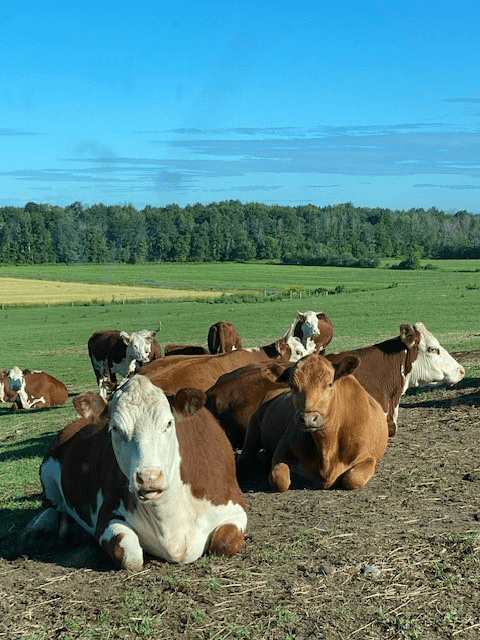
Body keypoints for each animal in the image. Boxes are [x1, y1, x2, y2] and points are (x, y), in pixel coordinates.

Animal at [26, 375, 248, 569]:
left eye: (169, 423)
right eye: (115, 428)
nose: (149, 478)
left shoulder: (235, 505)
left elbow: (224, 544)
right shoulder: (107, 516)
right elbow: (129, 556)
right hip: (47, 470)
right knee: (51, 504)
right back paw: (42, 524)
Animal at [236, 354, 389, 492]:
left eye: (329, 384)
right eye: (292, 385)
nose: (308, 418)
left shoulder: (368, 457)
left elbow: (352, 479)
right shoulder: (282, 450)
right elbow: (279, 480)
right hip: (253, 427)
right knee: (245, 457)